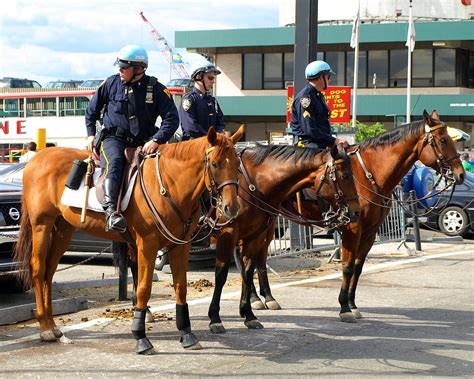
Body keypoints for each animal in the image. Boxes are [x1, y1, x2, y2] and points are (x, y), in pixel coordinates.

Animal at [12, 127, 243, 356]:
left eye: (237, 165)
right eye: (215, 164)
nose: (231, 208)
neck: (169, 184)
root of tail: (37, 158)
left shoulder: (181, 245)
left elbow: (181, 287)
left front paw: (186, 333)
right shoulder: (148, 245)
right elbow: (143, 288)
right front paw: (141, 336)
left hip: (63, 229)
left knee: (49, 273)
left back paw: (52, 326)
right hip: (42, 225)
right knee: (38, 269)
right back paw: (44, 328)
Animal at [207, 142, 360, 332]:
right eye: (345, 176)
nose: (356, 212)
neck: (252, 184)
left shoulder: (255, 235)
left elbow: (248, 272)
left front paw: (248, 314)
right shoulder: (228, 234)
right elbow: (221, 275)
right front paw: (215, 317)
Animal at [250, 110, 464, 324]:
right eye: (443, 140)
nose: (461, 175)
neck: (369, 174)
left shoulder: (370, 232)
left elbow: (358, 267)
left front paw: (352, 304)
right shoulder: (352, 229)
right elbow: (347, 266)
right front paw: (344, 307)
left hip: (268, 219)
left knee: (258, 256)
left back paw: (267, 298)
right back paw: (255, 299)